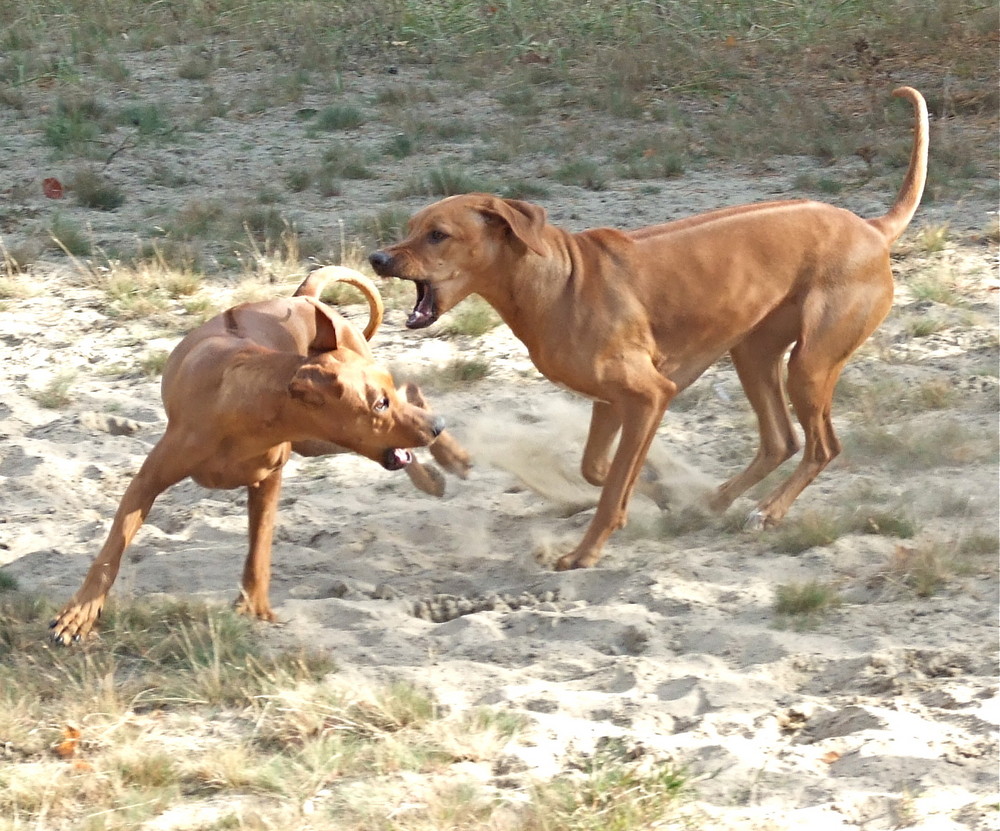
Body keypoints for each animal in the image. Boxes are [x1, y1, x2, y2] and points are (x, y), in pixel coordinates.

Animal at [47, 266, 468, 644]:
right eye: (379, 404)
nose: (439, 425)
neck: (249, 408)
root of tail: (304, 298)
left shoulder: (268, 480)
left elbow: (260, 548)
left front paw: (254, 606)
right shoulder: (147, 482)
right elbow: (110, 551)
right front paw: (80, 613)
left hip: (325, 440)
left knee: (412, 391)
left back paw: (448, 461)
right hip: (322, 442)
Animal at [372, 89, 932, 572]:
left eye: (438, 235)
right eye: (409, 228)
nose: (377, 258)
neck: (557, 281)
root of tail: (871, 228)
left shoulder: (648, 396)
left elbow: (612, 484)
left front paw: (585, 553)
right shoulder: (609, 402)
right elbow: (600, 472)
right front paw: (659, 495)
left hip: (810, 365)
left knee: (822, 447)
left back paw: (768, 512)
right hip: (754, 354)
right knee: (781, 441)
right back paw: (713, 501)